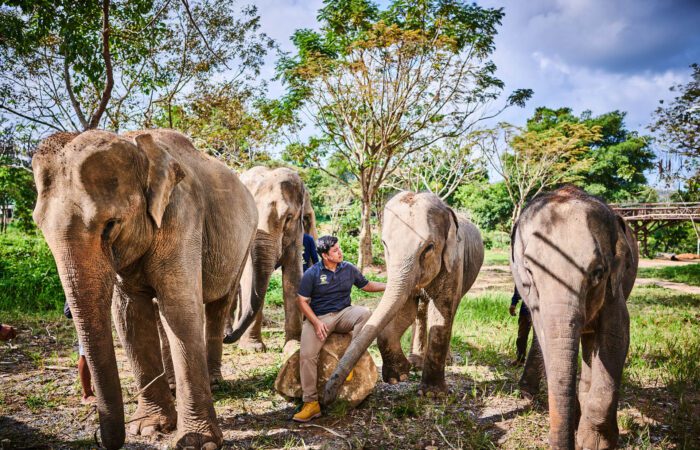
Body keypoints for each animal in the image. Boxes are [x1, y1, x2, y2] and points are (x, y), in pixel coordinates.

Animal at [31, 128, 258, 448]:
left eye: (110, 225)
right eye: (39, 227)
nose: (98, 438)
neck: (137, 146)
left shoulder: (182, 216)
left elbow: (178, 308)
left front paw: (197, 442)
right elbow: (129, 316)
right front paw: (150, 429)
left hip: (244, 242)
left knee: (219, 305)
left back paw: (214, 381)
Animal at [221, 165, 318, 352]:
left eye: (288, 218)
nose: (226, 338)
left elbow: (294, 277)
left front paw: (294, 347)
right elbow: (248, 277)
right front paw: (252, 348)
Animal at [322, 190, 482, 400]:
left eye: (429, 247)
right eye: (384, 244)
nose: (324, 398)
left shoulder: (454, 262)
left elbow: (442, 311)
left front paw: (433, 394)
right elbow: (405, 309)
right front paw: (398, 377)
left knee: (448, 312)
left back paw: (444, 362)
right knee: (421, 311)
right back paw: (416, 362)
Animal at [508, 185, 640, 448]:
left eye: (598, 272)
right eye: (529, 271)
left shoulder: (614, 288)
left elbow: (616, 335)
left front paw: (594, 443)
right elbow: (546, 339)